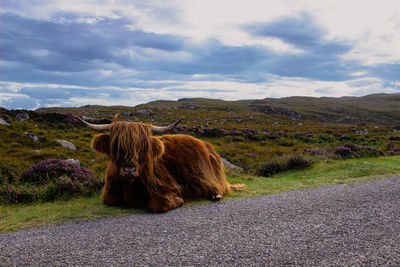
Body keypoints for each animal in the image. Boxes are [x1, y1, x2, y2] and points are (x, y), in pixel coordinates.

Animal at [73, 115, 238, 214]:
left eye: (143, 147)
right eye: (116, 146)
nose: (129, 170)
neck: (128, 186)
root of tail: (206, 144)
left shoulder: (168, 185)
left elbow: (156, 205)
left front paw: (177, 200)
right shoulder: (109, 194)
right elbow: (110, 200)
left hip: (203, 174)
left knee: (217, 186)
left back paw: (215, 194)